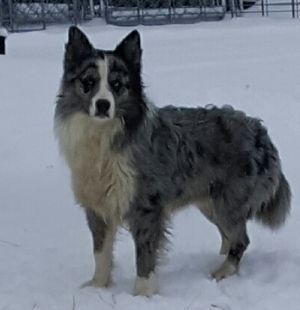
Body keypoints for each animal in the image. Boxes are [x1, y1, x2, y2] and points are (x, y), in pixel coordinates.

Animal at [54, 26, 290, 296]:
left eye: (116, 85)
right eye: (88, 82)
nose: (103, 104)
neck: (102, 137)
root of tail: (261, 131)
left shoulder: (146, 206)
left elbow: (144, 254)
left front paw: (142, 294)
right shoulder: (97, 207)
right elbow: (100, 252)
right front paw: (97, 287)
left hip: (228, 202)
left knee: (241, 239)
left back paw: (222, 272)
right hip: (210, 202)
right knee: (230, 236)